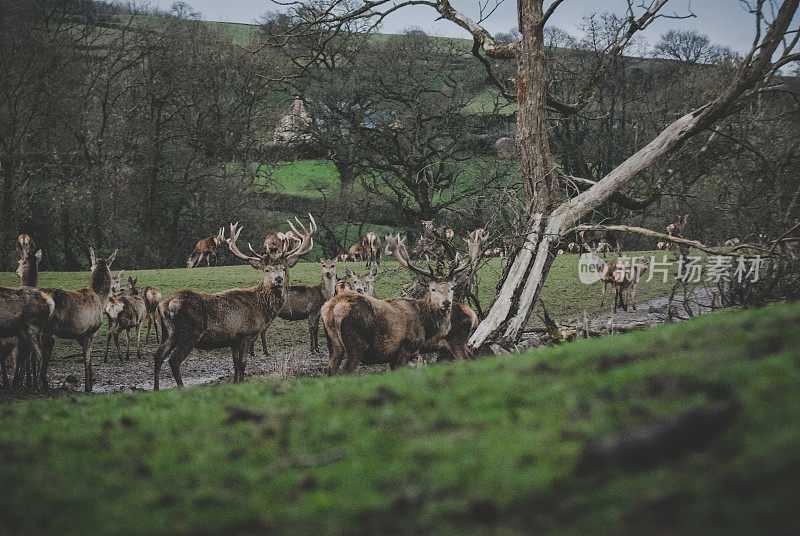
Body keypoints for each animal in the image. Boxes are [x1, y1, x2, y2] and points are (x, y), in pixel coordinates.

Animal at [39, 248, 117, 394]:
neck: (101, 300)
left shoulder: (79, 334)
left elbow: (87, 359)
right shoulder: (90, 331)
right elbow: (87, 359)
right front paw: (88, 388)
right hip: (48, 327)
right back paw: (42, 384)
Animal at [153, 215, 316, 390]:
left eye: (284, 268)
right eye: (266, 270)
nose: (278, 279)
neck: (262, 310)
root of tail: (165, 305)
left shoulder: (234, 340)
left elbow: (236, 364)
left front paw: (235, 383)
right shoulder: (247, 334)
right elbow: (243, 364)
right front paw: (241, 384)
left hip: (169, 333)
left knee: (158, 355)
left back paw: (156, 389)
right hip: (190, 332)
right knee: (174, 360)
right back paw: (181, 388)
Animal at [320, 228, 482, 374]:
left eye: (452, 287)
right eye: (432, 289)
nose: (446, 303)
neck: (425, 324)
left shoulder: (394, 356)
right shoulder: (406, 348)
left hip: (333, 345)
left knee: (331, 369)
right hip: (355, 344)